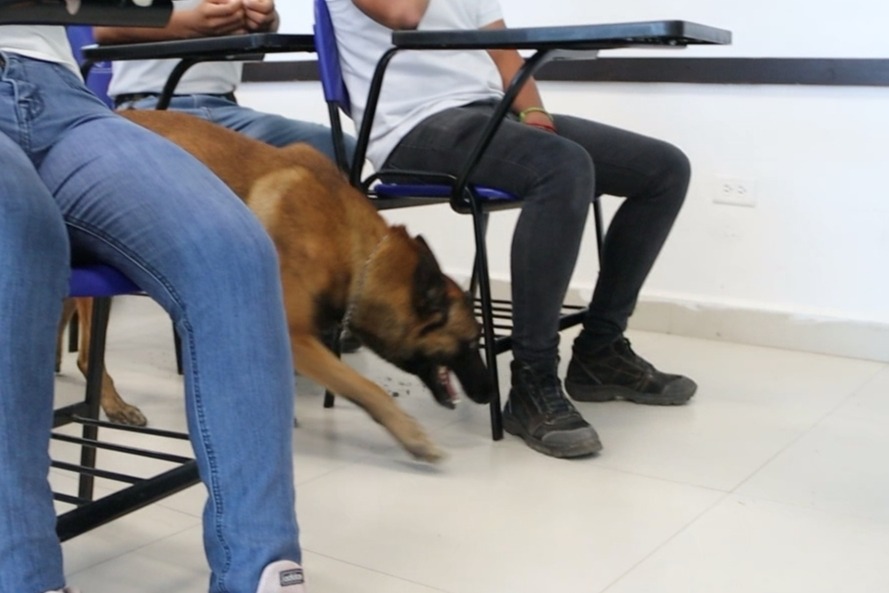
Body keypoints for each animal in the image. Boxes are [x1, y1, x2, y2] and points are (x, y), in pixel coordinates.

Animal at [62, 109, 495, 462]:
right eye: (471, 342)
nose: (489, 394)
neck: (353, 250)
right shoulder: (295, 335)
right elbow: (365, 387)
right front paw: (411, 435)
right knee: (87, 355)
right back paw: (114, 404)